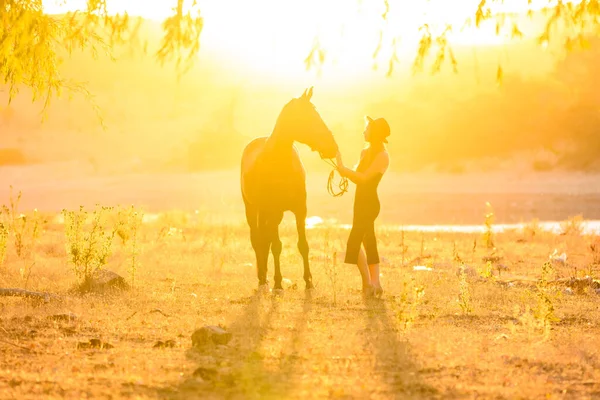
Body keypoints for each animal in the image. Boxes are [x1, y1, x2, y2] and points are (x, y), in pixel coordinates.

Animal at [240, 87, 342, 292]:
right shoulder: (272, 210)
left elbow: (303, 245)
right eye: (309, 118)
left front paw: (308, 280)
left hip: (272, 214)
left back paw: (265, 276)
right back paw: (262, 278)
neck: (280, 163)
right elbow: (277, 246)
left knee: (264, 240)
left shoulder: (300, 210)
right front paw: (279, 282)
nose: (332, 147)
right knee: (257, 239)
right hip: (253, 208)